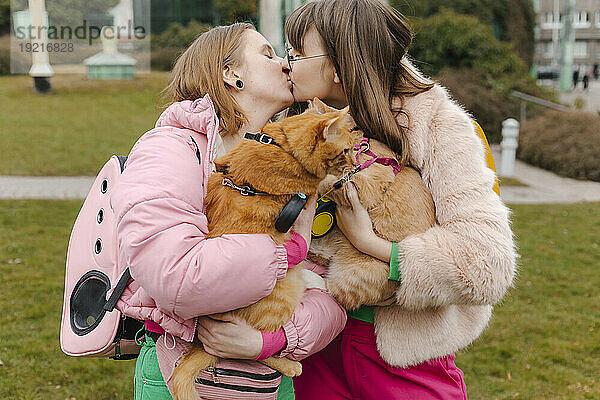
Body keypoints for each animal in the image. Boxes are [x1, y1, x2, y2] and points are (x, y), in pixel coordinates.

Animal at [171, 106, 358, 400]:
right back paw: (289, 364)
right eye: (347, 150)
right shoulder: (306, 191)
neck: (283, 146)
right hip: (283, 296)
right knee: (258, 350)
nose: (354, 161)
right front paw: (339, 178)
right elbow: (322, 181)